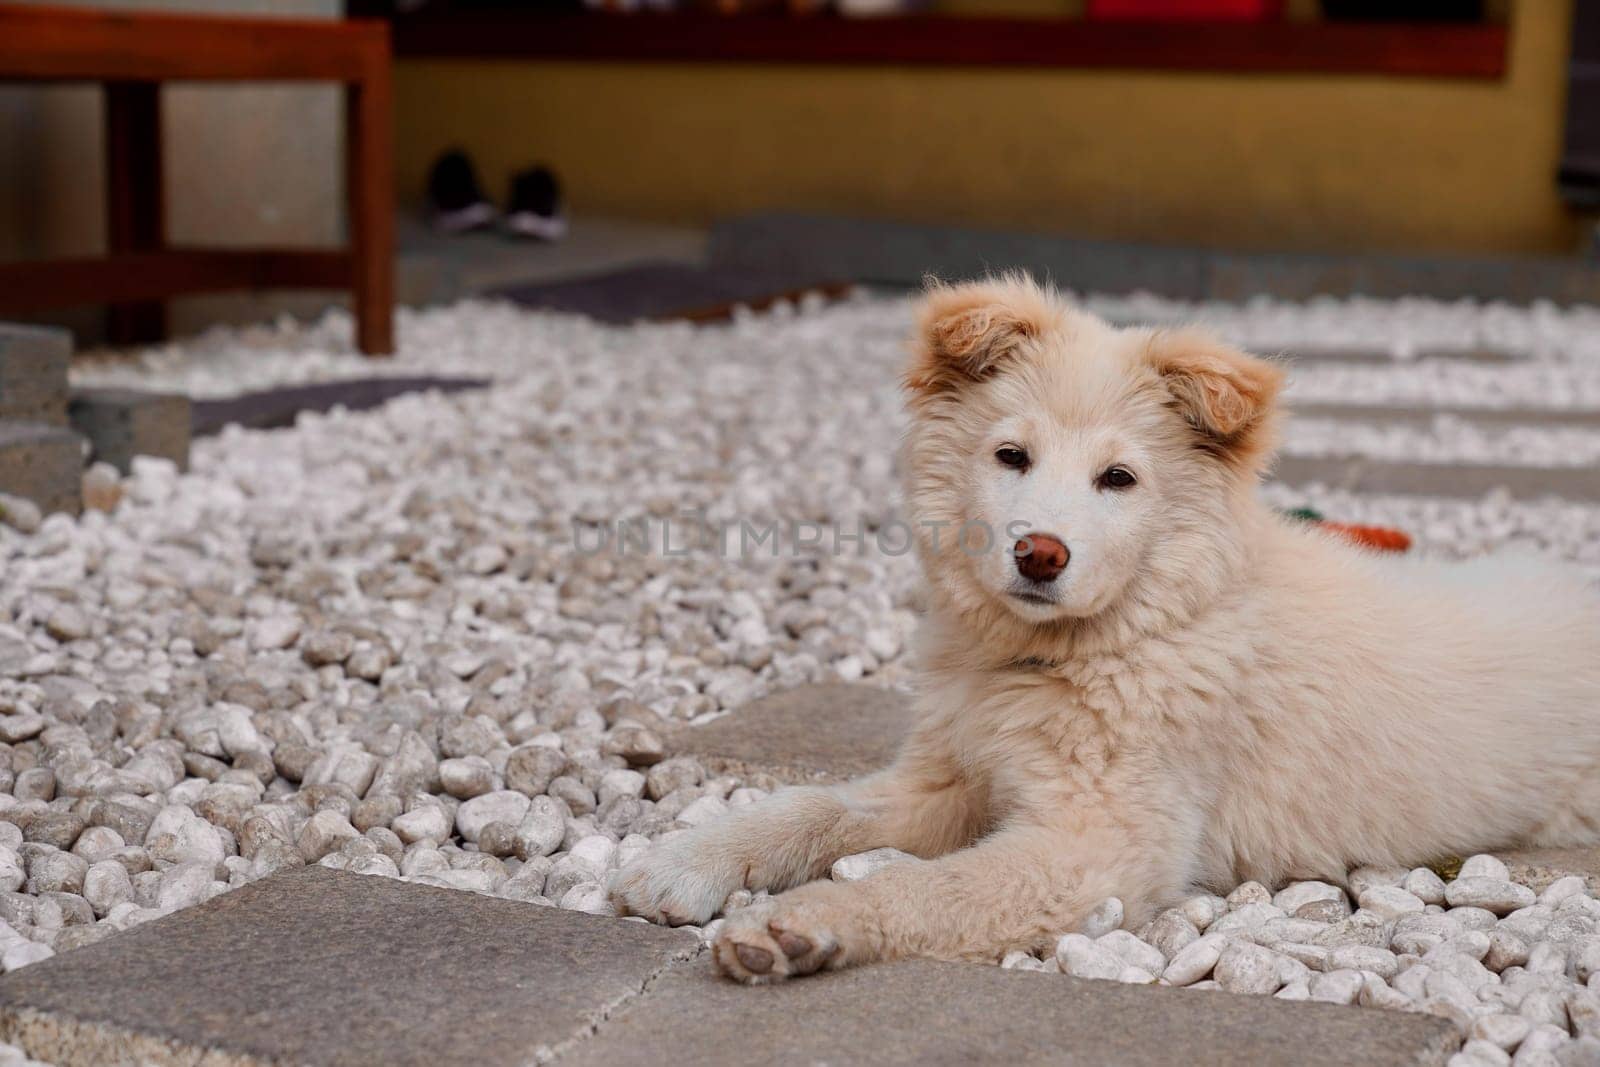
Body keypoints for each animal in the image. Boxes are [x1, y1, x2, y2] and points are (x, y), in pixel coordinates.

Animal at [608, 275, 1600, 985]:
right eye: (1011, 456)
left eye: (1118, 478)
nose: (1039, 554)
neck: (1101, 644)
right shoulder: (953, 777)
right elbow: (813, 807)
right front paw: (687, 861)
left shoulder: (1098, 843)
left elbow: (927, 884)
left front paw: (804, 924)